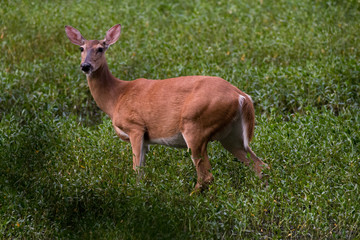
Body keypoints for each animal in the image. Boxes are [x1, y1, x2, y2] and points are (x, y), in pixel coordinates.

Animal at [64, 23, 268, 193]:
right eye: (81, 48)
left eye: (100, 48)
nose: (85, 66)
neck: (116, 98)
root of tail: (241, 96)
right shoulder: (146, 139)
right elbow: (142, 168)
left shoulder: (135, 127)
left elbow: (137, 169)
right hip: (230, 134)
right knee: (260, 166)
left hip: (195, 125)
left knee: (206, 176)